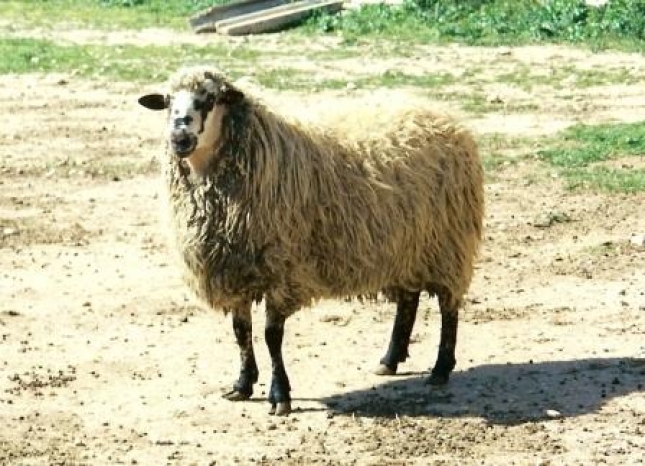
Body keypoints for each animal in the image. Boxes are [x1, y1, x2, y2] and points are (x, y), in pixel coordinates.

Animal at [140, 64, 484, 416]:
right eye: (167, 102)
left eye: (211, 99)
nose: (180, 138)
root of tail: (443, 114)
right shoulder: (235, 270)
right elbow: (241, 332)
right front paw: (242, 385)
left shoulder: (282, 269)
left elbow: (271, 335)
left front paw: (280, 395)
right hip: (406, 244)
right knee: (409, 299)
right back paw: (389, 360)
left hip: (448, 244)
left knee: (449, 306)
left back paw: (441, 368)